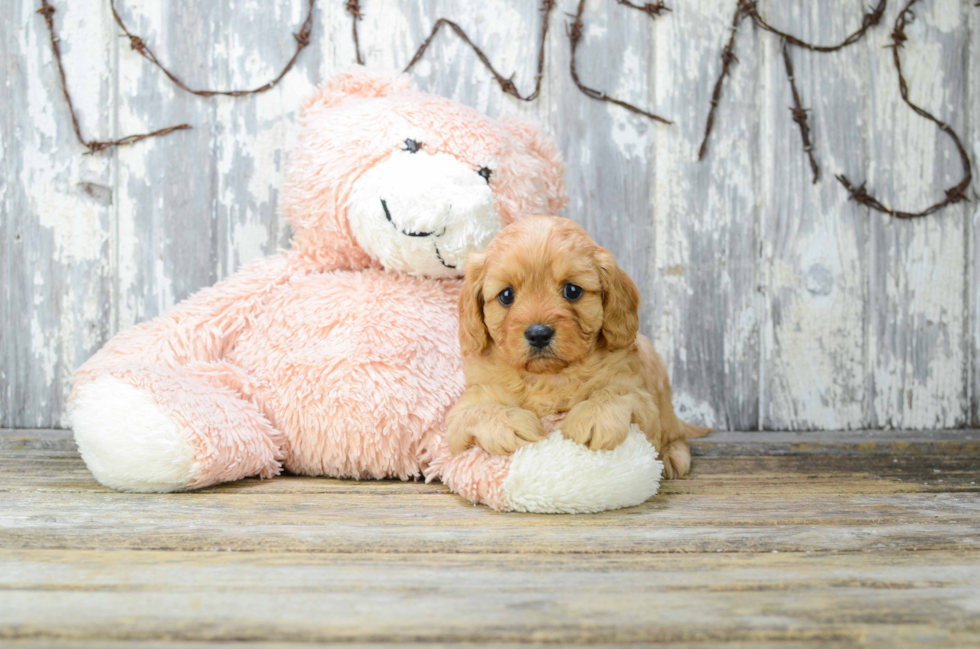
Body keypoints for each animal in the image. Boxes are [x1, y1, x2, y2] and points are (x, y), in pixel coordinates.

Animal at [446, 216, 712, 476]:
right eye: (506, 295)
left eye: (572, 290)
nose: (539, 334)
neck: (549, 377)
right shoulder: (466, 407)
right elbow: (478, 410)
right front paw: (510, 424)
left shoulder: (639, 396)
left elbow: (614, 392)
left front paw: (595, 417)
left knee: (674, 430)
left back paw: (672, 454)